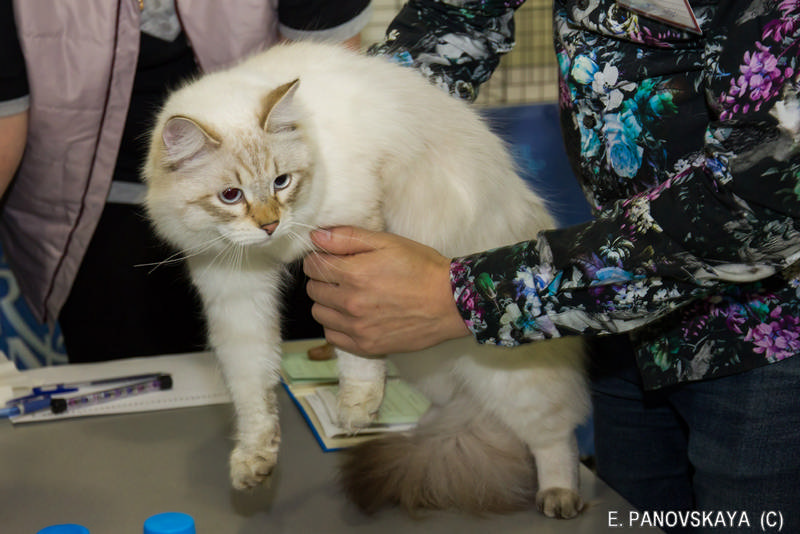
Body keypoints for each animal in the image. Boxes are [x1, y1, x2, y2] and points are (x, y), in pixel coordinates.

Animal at [143, 41, 590, 519]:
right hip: (426, 364)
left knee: (554, 434)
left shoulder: (348, 243)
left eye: (281, 182)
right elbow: (252, 391)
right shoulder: (234, 291)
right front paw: (254, 463)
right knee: (458, 406)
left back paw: (559, 494)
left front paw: (354, 413)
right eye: (231, 196)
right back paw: (425, 433)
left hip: (510, 375)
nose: (270, 225)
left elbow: (355, 359)